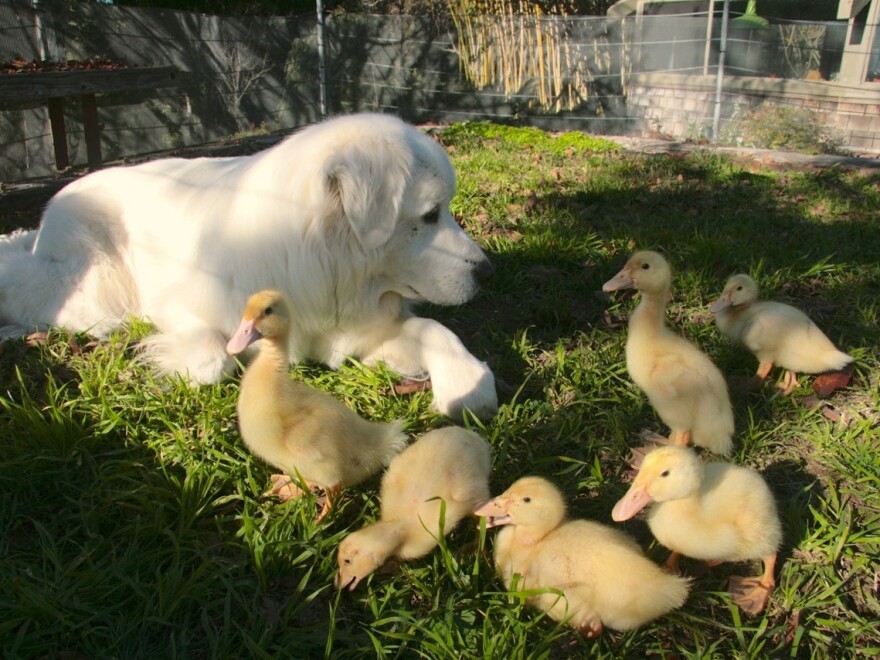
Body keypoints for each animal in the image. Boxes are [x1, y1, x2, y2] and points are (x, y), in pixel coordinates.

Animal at [0, 113, 498, 418]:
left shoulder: (358, 330)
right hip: (91, 286)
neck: (319, 262)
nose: (485, 273)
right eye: (430, 215)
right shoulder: (178, 301)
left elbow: (435, 331)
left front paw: (466, 382)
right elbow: (211, 360)